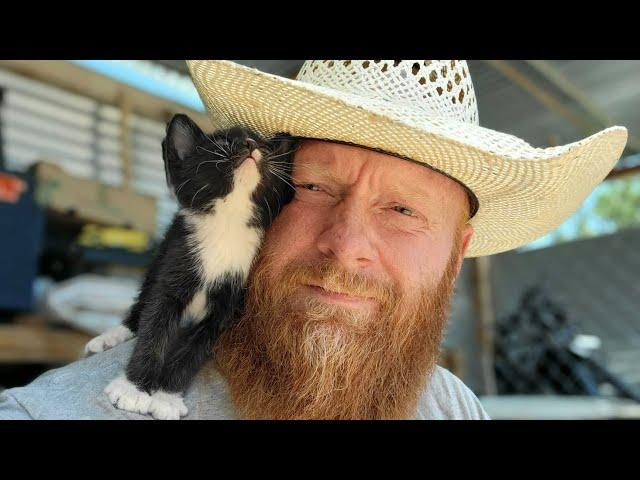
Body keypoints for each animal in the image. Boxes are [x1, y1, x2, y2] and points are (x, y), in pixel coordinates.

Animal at [82, 114, 298, 418]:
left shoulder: (225, 309)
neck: (227, 224)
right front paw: (134, 389)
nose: (250, 144)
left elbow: (193, 350)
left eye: (265, 146)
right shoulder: (173, 269)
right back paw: (111, 336)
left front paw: (166, 398)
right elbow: (153, 331)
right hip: (161, 257)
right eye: (222, 141)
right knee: (142, 302)